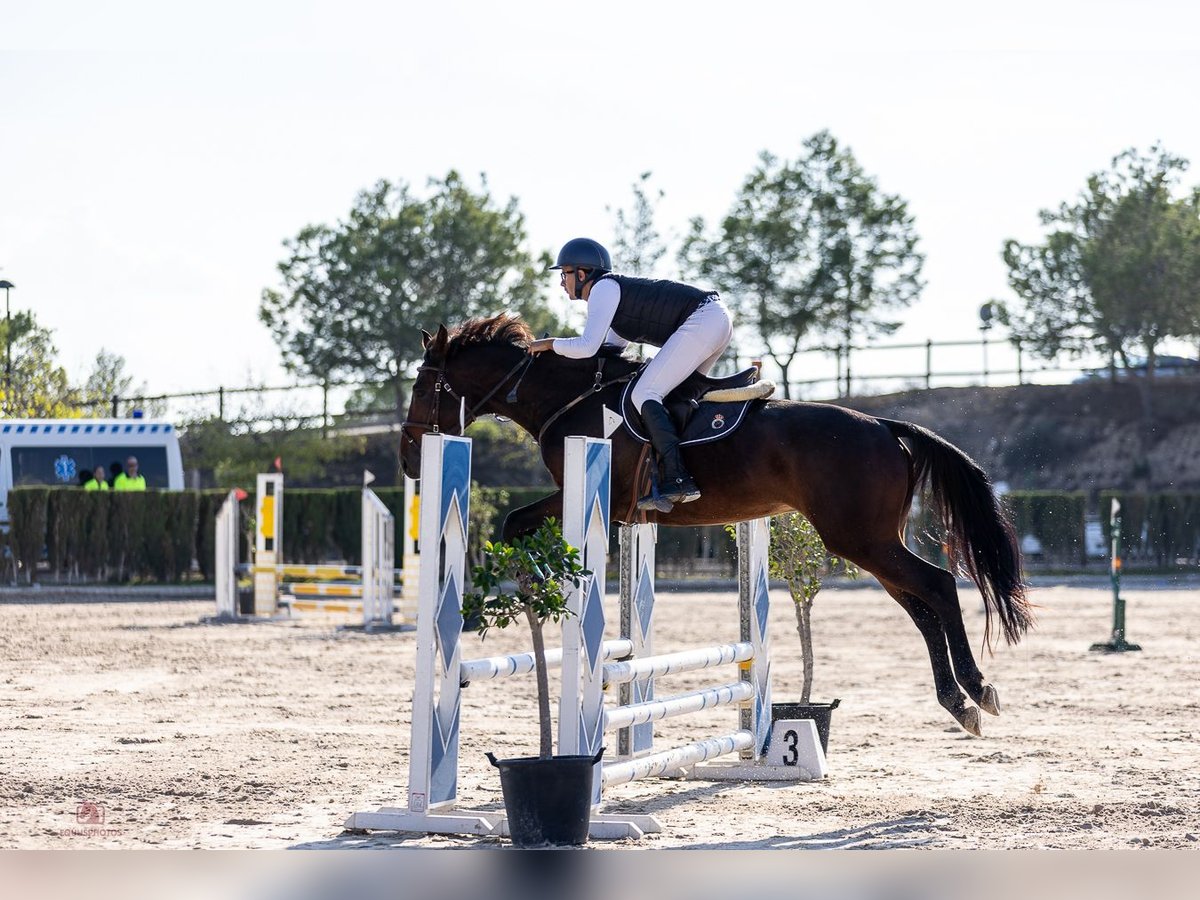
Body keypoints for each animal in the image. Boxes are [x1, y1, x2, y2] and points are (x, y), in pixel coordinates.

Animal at [399, 313, 1034, 737]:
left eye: (424, 386)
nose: (408, 461)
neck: (568, 398)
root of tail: (884, 425)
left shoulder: (600, 495)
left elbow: (513, 521)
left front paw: (533, 586)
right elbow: (518, 523)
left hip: (861, 539)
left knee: (937, 585)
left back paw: (976, 690)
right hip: (870, 542)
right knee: (922, 606)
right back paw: (961, 701)